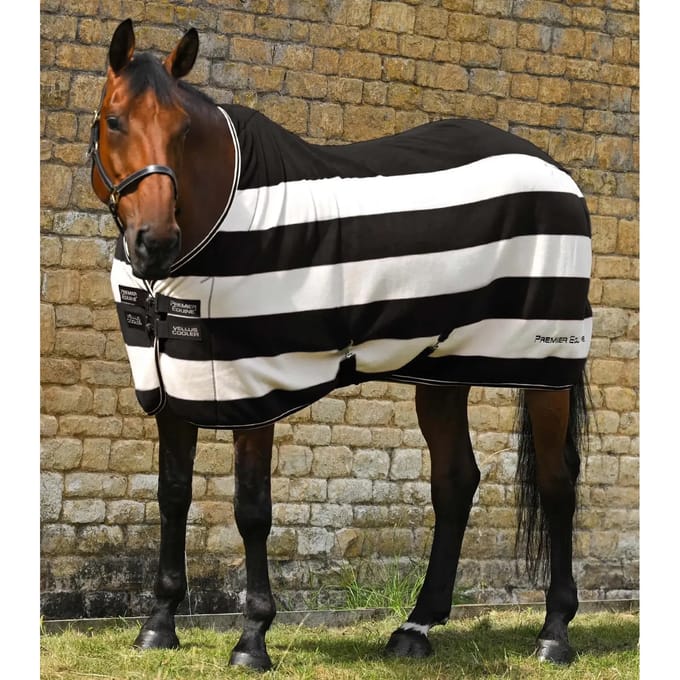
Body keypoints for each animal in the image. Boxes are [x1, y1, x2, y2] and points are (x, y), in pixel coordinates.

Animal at [88, 19, 592, 670]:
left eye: (184, 130)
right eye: (114, 120)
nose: (154, 242)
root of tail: (558, 173)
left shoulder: (256, 389)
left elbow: (251, 510)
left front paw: (252, 638)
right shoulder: (172, 387)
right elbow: (172, 495)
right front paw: (158, 624)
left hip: (545, 364)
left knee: (556, 482)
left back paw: (554, 632)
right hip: (444, 368)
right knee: (456, 480)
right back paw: (416, 627)